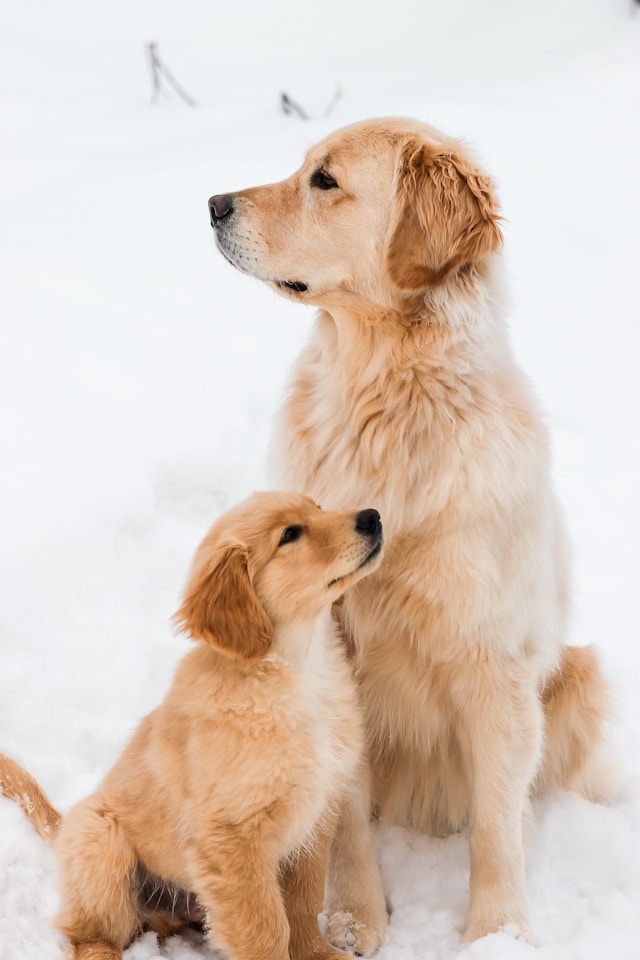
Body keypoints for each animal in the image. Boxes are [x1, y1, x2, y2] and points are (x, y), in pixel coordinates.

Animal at [0, 492, 380, 960]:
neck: (300, 666)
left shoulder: (315, 819)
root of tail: (67, 822)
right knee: (89, 933)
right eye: (290, 534)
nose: (373, 517)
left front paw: (318, 953)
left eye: (318, 507)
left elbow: (302, 906)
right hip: (102, 844)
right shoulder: (232, 838)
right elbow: (266, 928)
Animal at [208, 118, 612, 944]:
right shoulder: (337, 653)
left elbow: (496, 827)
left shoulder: (494, 662)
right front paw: (352, 919)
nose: (213, 205)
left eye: (324, 180)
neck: (385, 397)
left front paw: (498, 935)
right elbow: (347, 816)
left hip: (582, 677)